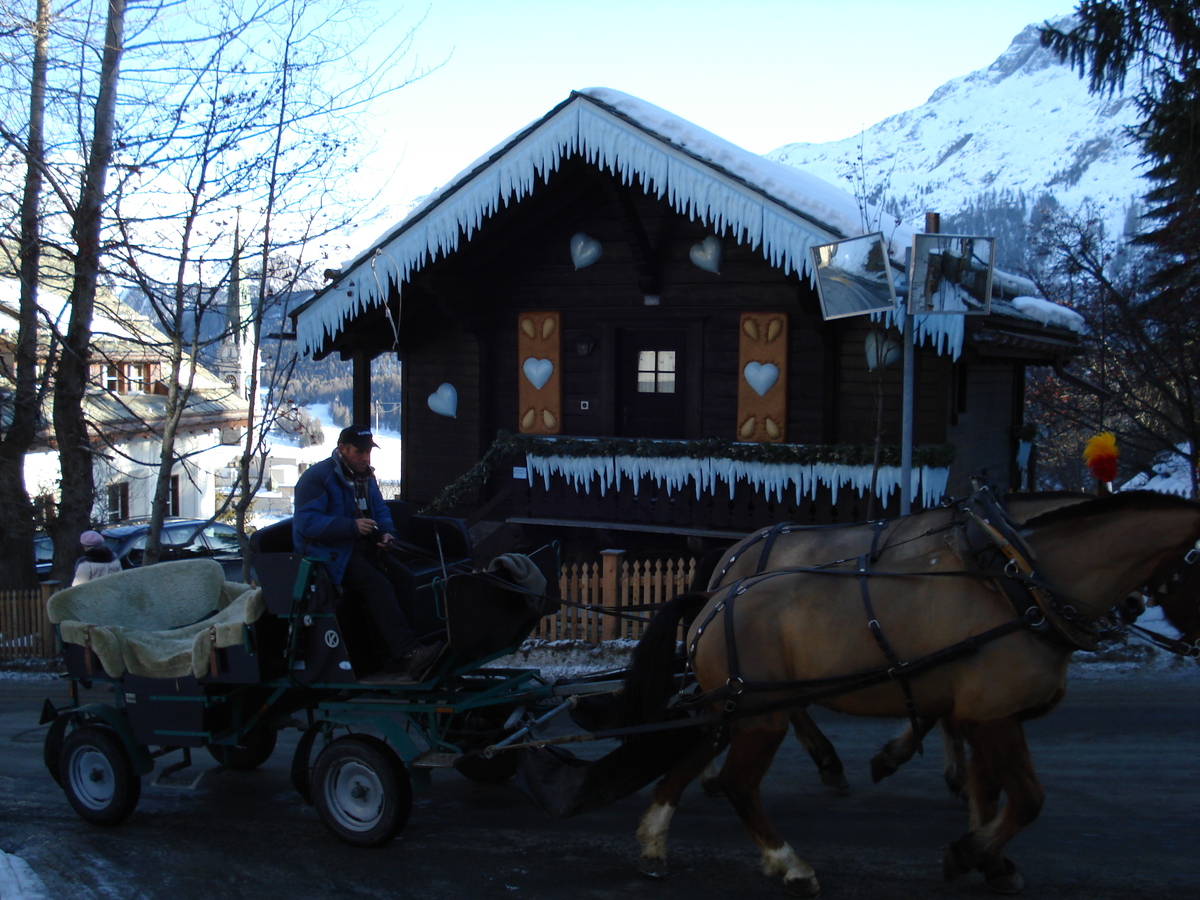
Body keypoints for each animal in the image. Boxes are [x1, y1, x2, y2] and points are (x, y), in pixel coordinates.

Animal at [700, 489, 1099, 792]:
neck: (989, 541)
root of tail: (733, 551)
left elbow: (940, 710)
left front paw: (954, 772)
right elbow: (934, 712)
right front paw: (900, 761)